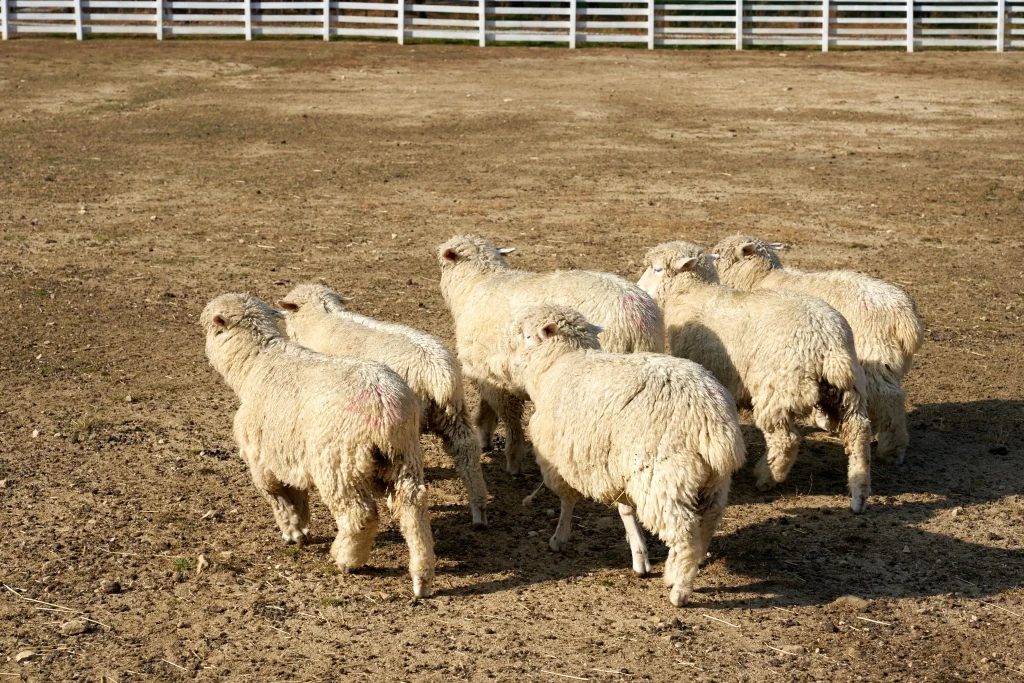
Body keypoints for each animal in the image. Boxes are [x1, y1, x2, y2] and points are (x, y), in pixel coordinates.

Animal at [200, 294, 436, 598]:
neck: (254, 364)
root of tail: (383, 404)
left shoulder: (261, 456)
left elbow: (275, 495)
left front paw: (292, 532)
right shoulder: (289, 454)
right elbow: (297, 494)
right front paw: (302, 527)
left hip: (338, 464)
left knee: (360, 515)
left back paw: (345, 559)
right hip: (405, 456)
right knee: (413, 506)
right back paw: (422, 576)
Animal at [278, 282, 489, 528]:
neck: (321, 317)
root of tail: (437, 373)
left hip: (404, 420)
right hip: (454, 413)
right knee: (466, 451)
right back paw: (479, 510)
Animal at [499, 305, 741, 610]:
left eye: (528, 335)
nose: (511, 361)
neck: (560, 362)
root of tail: (713, 418)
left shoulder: (564, 458)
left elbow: (568, 500)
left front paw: (559, 538)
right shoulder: (614, 466)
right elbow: (626, 510)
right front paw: (640, 557)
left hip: (661, 477)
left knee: (685, 535)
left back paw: (679, 590)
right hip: (713, 481)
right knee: (708, 523)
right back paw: (681, 569)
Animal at [638, 240, 872, 511]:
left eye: (656, 269)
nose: (639, 288)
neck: (691, 293)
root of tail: (828, 343)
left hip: (777, 389)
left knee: (786, 439)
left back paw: (766, 476)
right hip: (850, 390)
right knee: (858, 432)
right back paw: (858, 494)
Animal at [712, 235, 921, 464]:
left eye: (719, 254)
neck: (759, 277)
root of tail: (905, 315)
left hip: (874, 354)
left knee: (891, 398)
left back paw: (893, 450)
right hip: (885, 362)